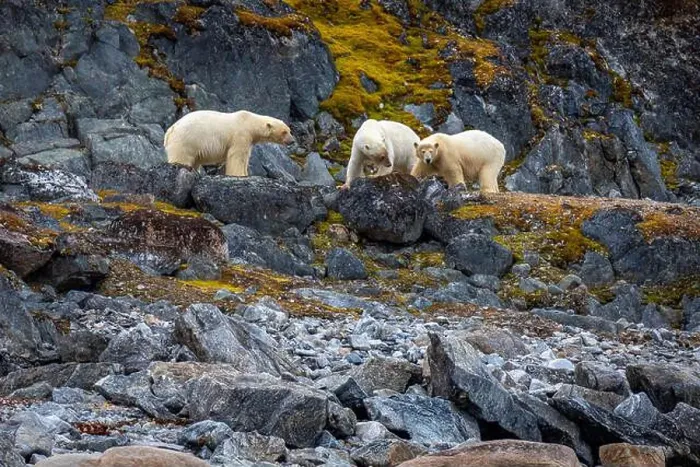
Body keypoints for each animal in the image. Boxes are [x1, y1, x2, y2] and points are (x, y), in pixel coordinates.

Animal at [164, 110, 295, 176]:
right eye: (284, 132)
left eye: (289, 130)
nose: (292, 141)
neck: (249, 122)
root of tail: (170, 130)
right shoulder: (240, 135)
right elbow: (237, 156)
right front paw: (239, 175)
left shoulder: (249, 140)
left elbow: (245, 157)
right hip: (187, 140)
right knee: (182, 157)